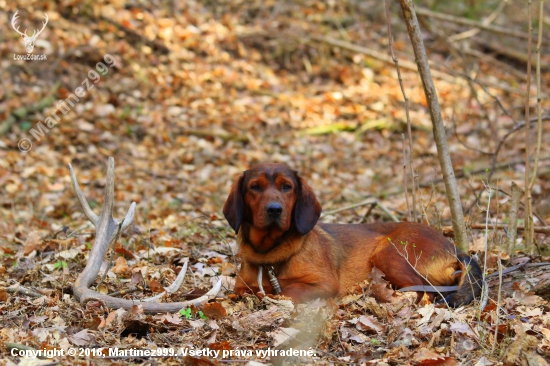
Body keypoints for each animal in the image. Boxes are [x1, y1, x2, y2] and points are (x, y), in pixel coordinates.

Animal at [224, 163, 484, 306]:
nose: (274, 209)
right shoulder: (241, 287)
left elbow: (287, 291)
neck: (269, 254)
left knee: (426, 290)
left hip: (388, 253)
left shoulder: (325, 283)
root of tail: (454, 248)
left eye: (286, 186)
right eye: (255, 187)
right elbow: (243, 292)